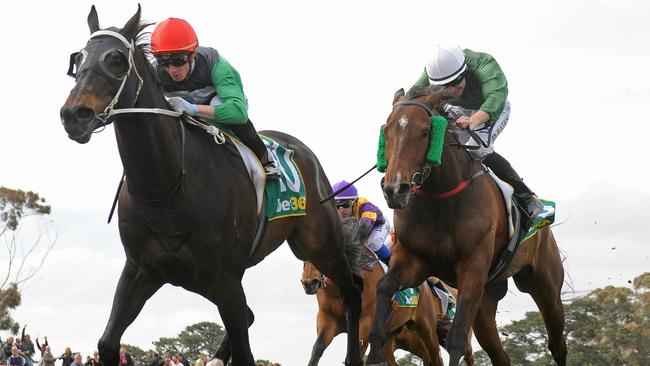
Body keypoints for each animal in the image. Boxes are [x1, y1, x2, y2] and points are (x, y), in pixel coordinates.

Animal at [60, 6, 362, 366]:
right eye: (78, 59)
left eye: (117, 60)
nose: (74, 114)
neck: (167, 187)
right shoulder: (142, 270)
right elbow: (107, 343)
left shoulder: (225, 280)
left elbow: (245, 351)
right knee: (251, 314)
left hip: (319, 245)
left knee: (352, 290)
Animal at [298, 236, 470, 364]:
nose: (309, 282)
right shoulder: (328, 319)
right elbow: (317, 349)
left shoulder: (366, 321)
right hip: (390, 337)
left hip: (426, 328)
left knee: (437, 357)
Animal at [364, 86, 568, 366]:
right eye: (386, 131)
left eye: (425, 131)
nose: (395, 189)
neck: (439, 200)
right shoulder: (413, 262)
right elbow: (384, 288)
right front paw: (375, 352)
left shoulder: (472, 268)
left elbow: (457, 339)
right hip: (485, 300)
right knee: (500, 356)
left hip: (544, 285)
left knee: (557, 343)